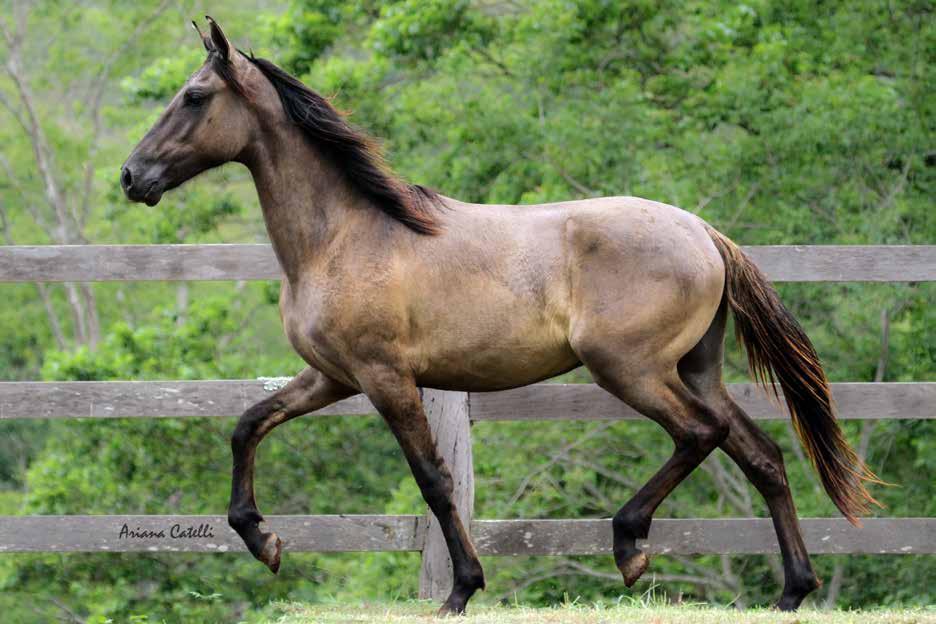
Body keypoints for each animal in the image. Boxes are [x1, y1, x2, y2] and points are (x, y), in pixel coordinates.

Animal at [120, 18, 880, 616]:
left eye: (193, 96)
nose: (132, 177)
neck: (343, 236)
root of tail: (704, 232)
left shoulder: (384, 376)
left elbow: (433, 478)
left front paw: (462, 589)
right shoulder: (333, 377)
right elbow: (248, 425)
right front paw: (265, 541)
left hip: (629, 368)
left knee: (700, 434)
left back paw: (630, 546)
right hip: (695, 368)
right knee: (762, 454)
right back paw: (792, 589)